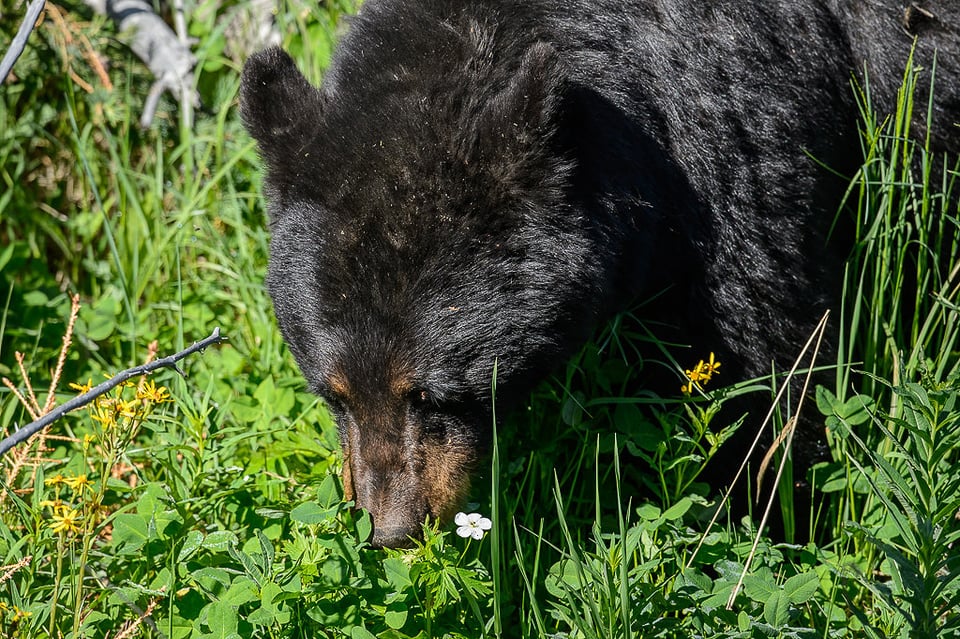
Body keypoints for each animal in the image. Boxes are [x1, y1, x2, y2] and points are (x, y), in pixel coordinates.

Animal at [238, 1, 952, 552]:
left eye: (431, 393)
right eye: (333, 393)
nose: (391, 531)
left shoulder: (743, 141)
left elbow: (775, 359)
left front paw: (778, 524)